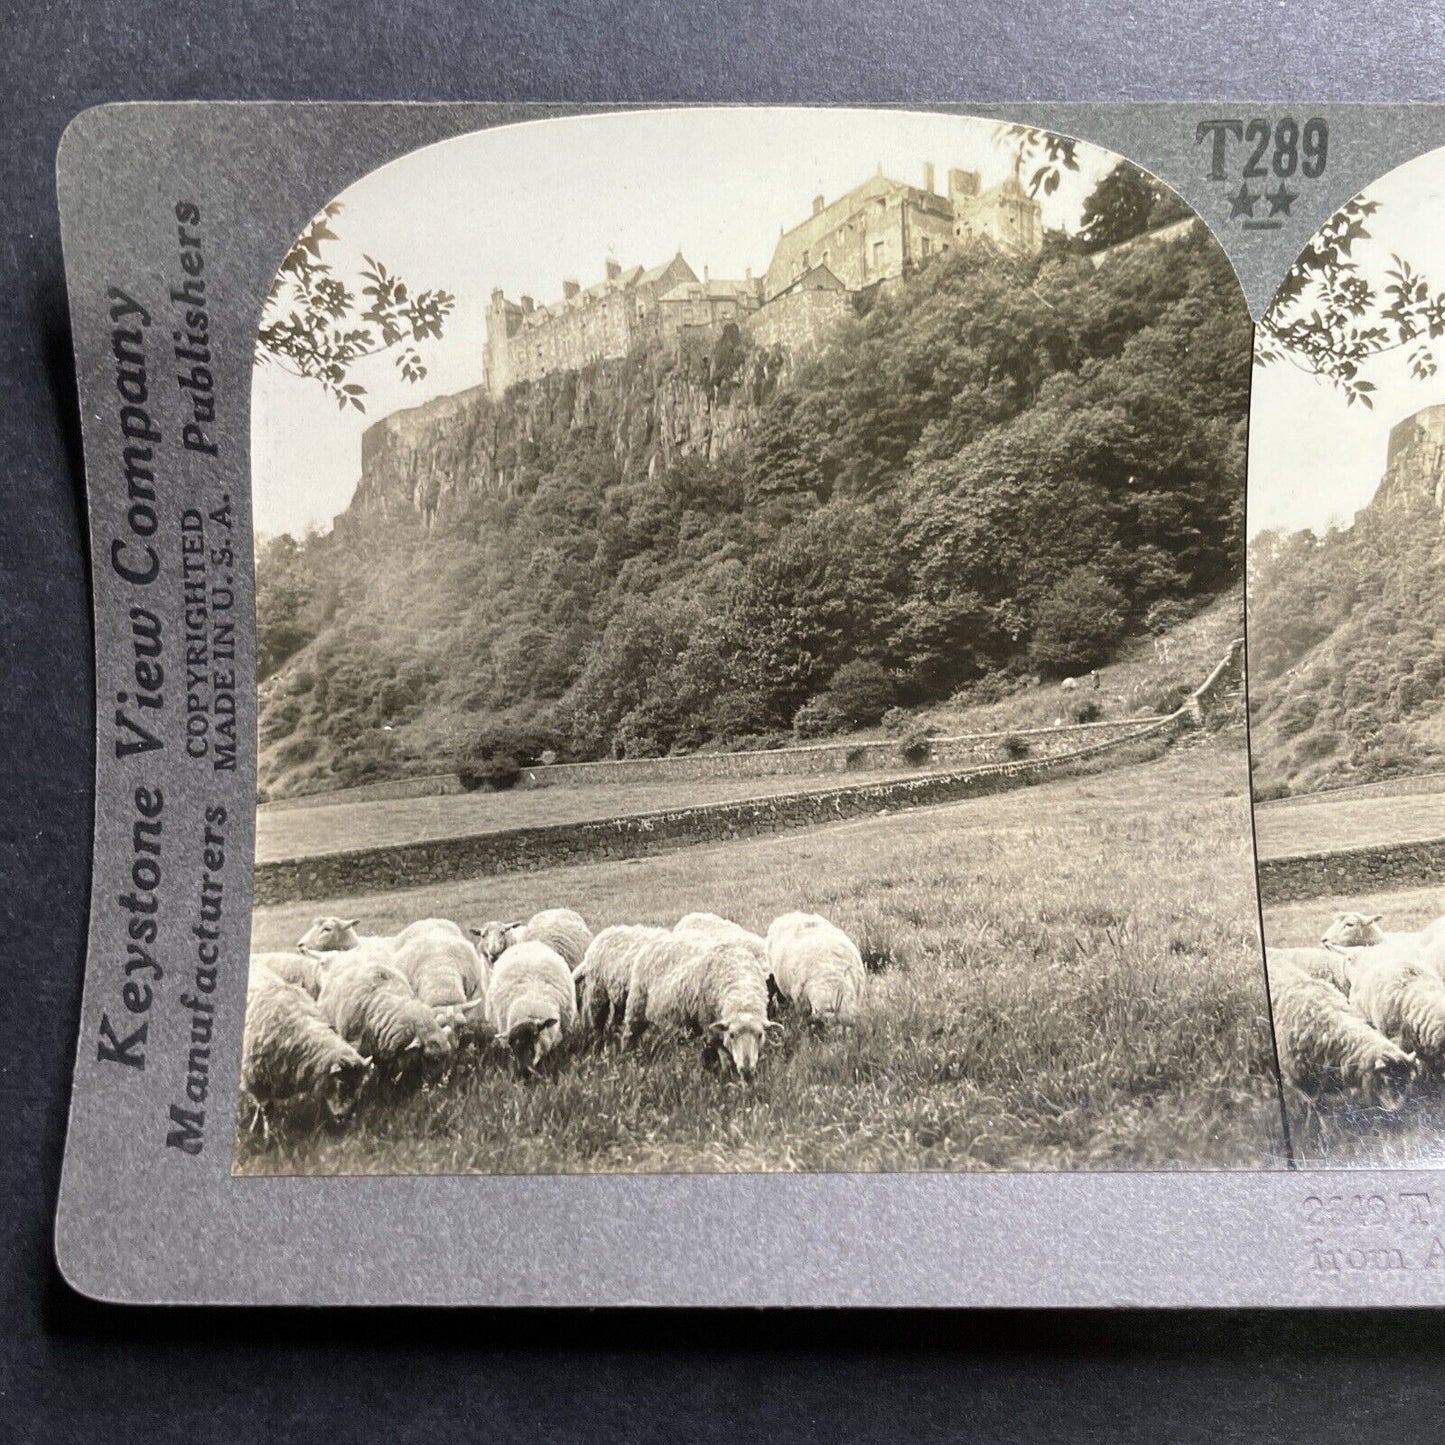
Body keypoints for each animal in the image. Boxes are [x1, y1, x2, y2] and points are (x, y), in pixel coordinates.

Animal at [241, 965, 372, 1132]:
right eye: (342, 1083)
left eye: (360, 1084)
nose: (347, 1118)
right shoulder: (255, 1078)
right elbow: (267, 1110)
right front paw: (267, 1134)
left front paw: (254, 1127)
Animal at [621, 930, 780, 1080]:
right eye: (732, 1035)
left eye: (760, 1035)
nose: (746, 1070)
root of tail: (655, 942)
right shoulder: (709, 1025)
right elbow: (724, 1057)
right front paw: (726, 1076)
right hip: (636, 1006)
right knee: (629, 1036)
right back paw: (627, 1058)